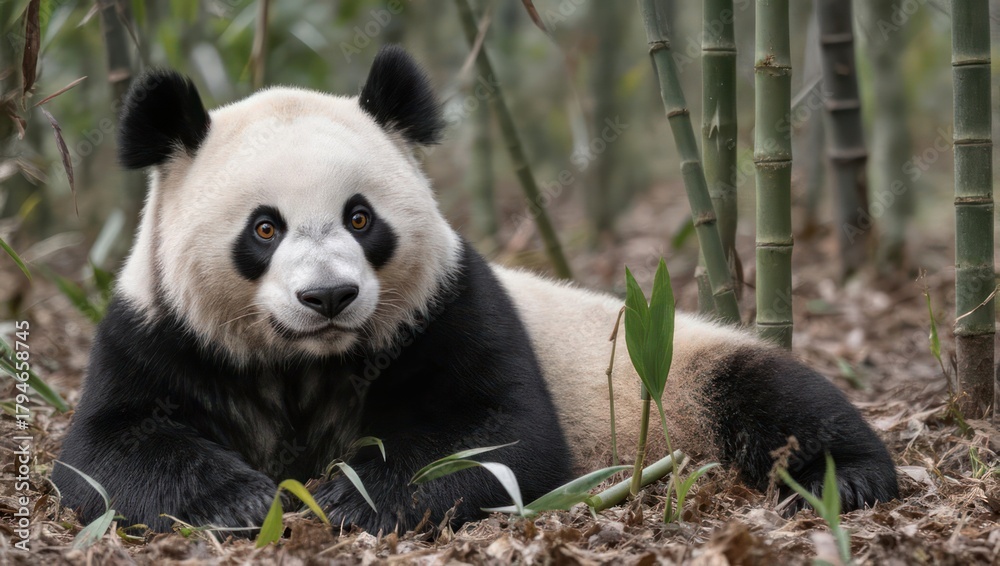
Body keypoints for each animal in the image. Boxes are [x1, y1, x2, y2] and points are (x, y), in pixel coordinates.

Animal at [53, 45, 897, 535]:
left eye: (360, 217)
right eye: (264, 229)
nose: (329, 298)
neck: (305, 359)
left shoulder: (448, 306)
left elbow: (500, 431)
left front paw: (353, 499)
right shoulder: (156, 328)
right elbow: (105, 452)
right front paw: (245, 500)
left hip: (683, 373)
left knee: (770, 394)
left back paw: (844, 477)